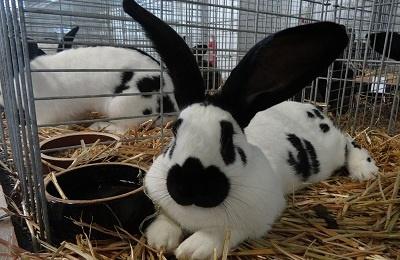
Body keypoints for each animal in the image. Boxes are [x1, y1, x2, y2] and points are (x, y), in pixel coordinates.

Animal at [123, 1, 380, 258]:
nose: (190, 186)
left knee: (349, 140)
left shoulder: (256, 218)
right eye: (175, 132)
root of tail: (313, 109)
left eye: (228, 139)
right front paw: (161, 239)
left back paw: (365, 170)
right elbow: (165, 218)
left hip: (333, 145)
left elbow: (224, 232)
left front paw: (193, 249)